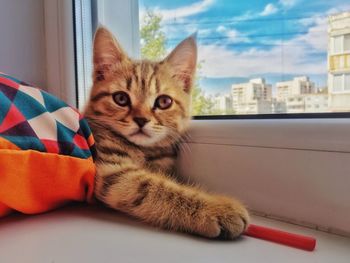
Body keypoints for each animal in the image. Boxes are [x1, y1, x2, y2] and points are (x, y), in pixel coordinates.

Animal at [84, 27, 249, 240]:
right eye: (120, 98)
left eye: (164, 102)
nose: (141, 120)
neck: (147, 151)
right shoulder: (113, 171)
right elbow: (159, 188)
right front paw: (218, 208)